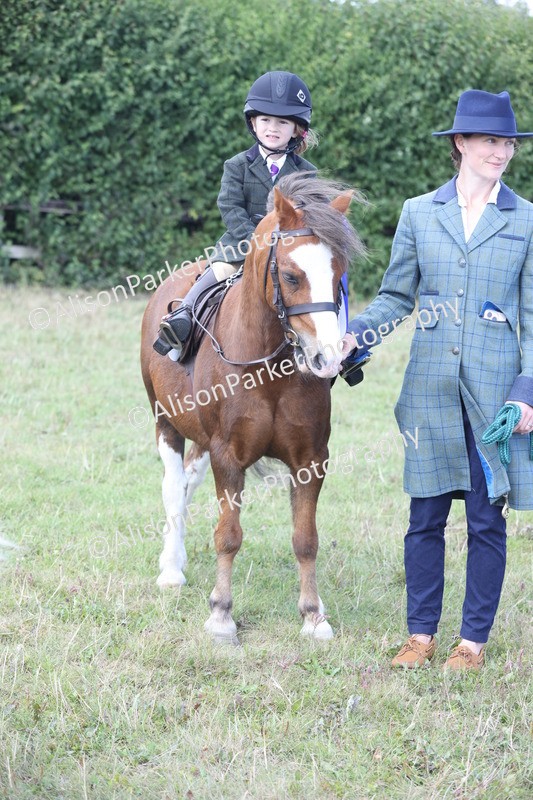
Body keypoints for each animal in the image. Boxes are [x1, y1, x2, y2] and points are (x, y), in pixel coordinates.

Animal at [140, 174, 366, 644]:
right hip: (165, 422)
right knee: (173, 489)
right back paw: (171, 569)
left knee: (188, 482)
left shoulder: (310, 460)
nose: (327, 358)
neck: (268, 369)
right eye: (293, 276)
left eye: (339, 275)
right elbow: (228, 535)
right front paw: (221, 615)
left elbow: (306, 538)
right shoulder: (228, 456)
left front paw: (314, 615)